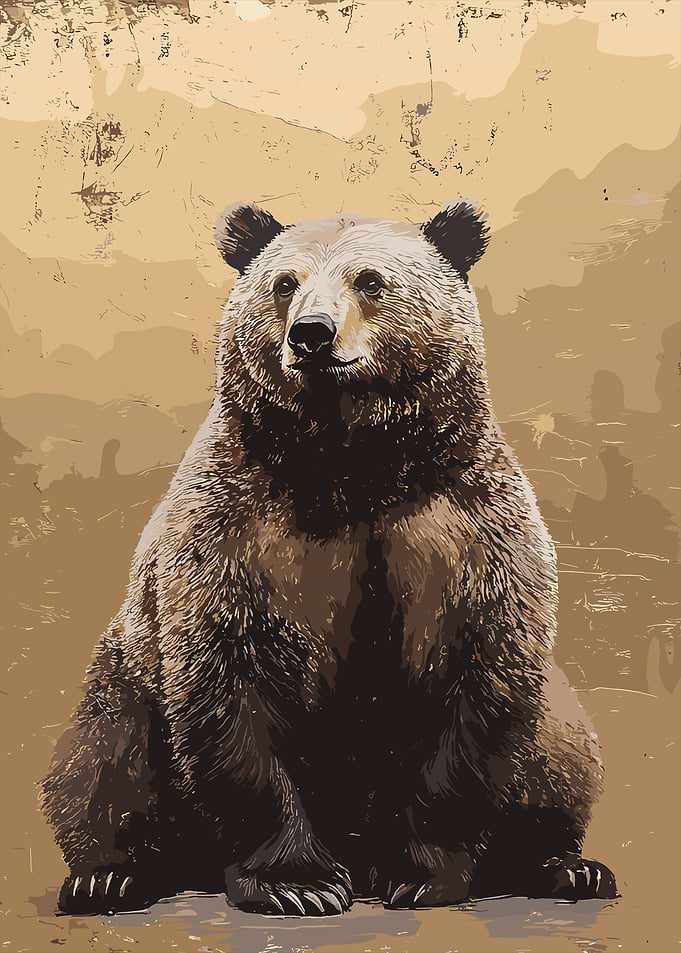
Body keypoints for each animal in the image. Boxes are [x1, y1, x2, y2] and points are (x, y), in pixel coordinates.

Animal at [41, 200, 618, 917]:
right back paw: (111, 874)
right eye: (285, 282)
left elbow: (475, 683)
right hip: (123, 678)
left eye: (370, 280)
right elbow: (225, 683)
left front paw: (417, 873)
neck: (352, 463)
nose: (311, 335)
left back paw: (564, 867)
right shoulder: (237, 527)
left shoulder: (461, 529)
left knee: (558, 757)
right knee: (105, 759)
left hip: (552, 720)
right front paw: (297, 882)